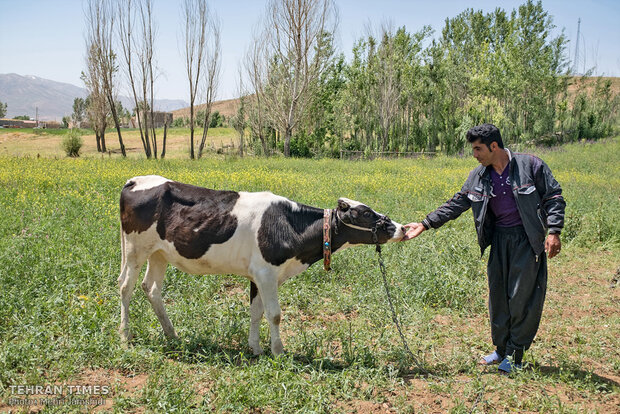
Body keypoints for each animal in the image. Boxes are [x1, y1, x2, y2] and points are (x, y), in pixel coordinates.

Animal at [119, 176, 406, 354]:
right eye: (366, 213)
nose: (401, 228)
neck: (289, 224)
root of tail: (136, 180)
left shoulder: (257, 275)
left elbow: (256, 312)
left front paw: (255, 349)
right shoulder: (266, 273)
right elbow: (274, 314)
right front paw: (278, 352)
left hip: (158, 253)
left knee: (151, 288)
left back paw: (172, 335)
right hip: (135, 250)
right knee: (125, 288)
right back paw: (125, 336)